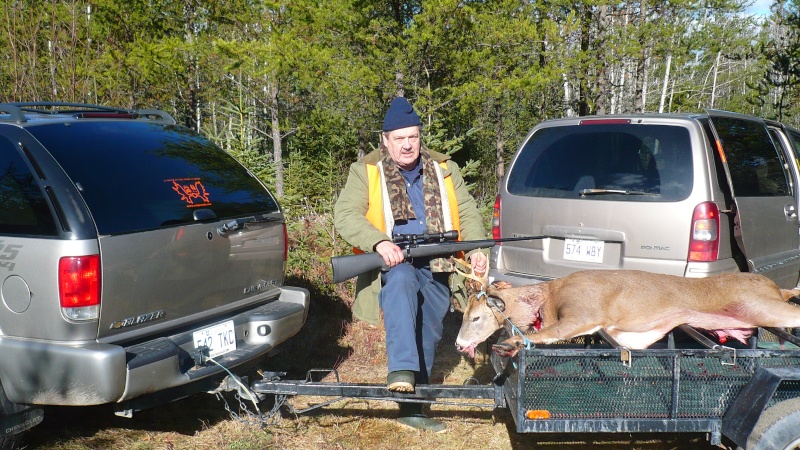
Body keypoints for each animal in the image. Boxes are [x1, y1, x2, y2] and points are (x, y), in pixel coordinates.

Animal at [454, 270, 800, 358]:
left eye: (476, 317)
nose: (458, 344)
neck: (546, 301)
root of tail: (776, 287)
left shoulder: (583, 313)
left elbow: (545, 335)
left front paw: (510, 344)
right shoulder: (627, 333)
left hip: (762, 304)